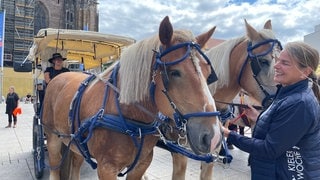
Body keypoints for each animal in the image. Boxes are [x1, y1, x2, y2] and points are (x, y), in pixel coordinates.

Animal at [41, 15, 222, 180]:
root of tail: (61, 76)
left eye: (208, 73)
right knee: (55, 167)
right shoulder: (106, 168)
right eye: (174, 72)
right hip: (52, 138)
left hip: (76, 142)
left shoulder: (141, 164)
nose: (213, 136)